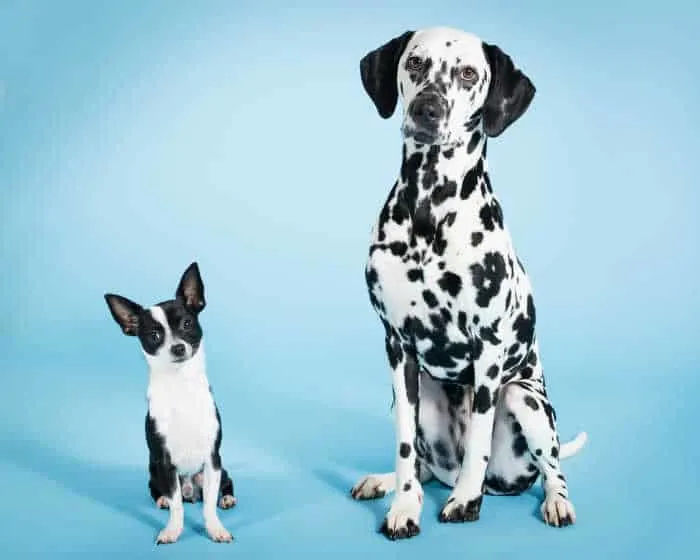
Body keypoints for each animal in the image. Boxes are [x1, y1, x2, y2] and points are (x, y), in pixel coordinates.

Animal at [104, 264, 235, 544]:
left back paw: (228, 498)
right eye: (154, 336)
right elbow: (177, 507)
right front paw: (172, 530)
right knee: (166, 494)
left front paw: (215, 528)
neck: (180, 386)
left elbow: (209, 505)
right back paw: (162, 499)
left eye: (187, 323)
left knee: (224, 485)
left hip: (219, 470)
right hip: (153, 472)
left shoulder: (212, 459)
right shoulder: (164, 462)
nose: (177, 347)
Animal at [350, 28, 584, 540]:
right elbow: (404, 450)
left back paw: (552, 500)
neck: (429, 211)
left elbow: (478, 437)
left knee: (552, 470)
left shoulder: (489, 351)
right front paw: (404, 506)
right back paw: (386, 481)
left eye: (469, 74)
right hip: (416, 396)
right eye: (415, 63)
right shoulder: (398, 349)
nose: (428, 109)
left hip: (524, 399)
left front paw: (464, 502)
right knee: (420, 464)